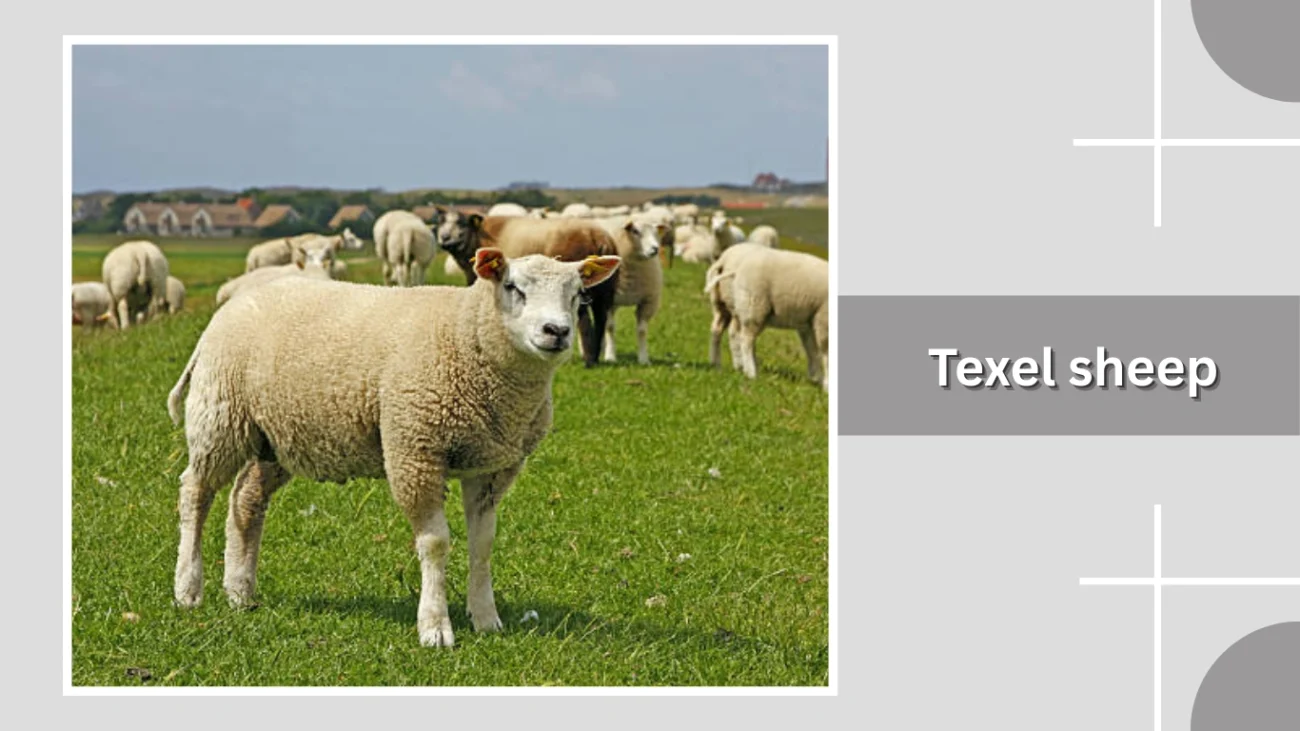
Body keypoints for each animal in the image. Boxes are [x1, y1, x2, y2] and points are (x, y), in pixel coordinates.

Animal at [165, 248, 622, 649]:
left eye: (578, 295)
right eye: (513, 287)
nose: (557, 332)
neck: (465, 336)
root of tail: (232, 306)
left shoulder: (490, 466)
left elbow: (484, 544)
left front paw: (486, 618)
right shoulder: (414, 451)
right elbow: (435, 543)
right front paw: (435, 627)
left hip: (277, 438)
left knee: (246, 499)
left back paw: (240, 591)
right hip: (219, 416)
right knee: (195, 493)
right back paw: (188, 588)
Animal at [436, 211, 621, 368]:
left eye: (461, 224)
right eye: (441, 221)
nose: (445, 240)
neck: (478, 236)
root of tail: (598, 238)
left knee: (584, 322)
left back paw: (589, 361)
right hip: (606, 290)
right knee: (601, 320)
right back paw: (595, 358)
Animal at [593, 216, 664, 365]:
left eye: (656, 232)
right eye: (635, 231)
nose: (655, 249)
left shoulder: (647, 302)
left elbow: (642, 331)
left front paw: (644, 359)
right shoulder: (609, 302)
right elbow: (610, 327)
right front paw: (610, 357)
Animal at [704, 243, 829, 391]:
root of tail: (723, 260)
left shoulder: (809, 322)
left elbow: (812, 351)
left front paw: (817, 378)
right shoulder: (824, 320)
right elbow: (825, 354)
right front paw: (826, 384)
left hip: (725, 305)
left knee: (718, 330)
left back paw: (717, 363)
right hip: (753, 305)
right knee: (745, 339)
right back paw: (750, 372)